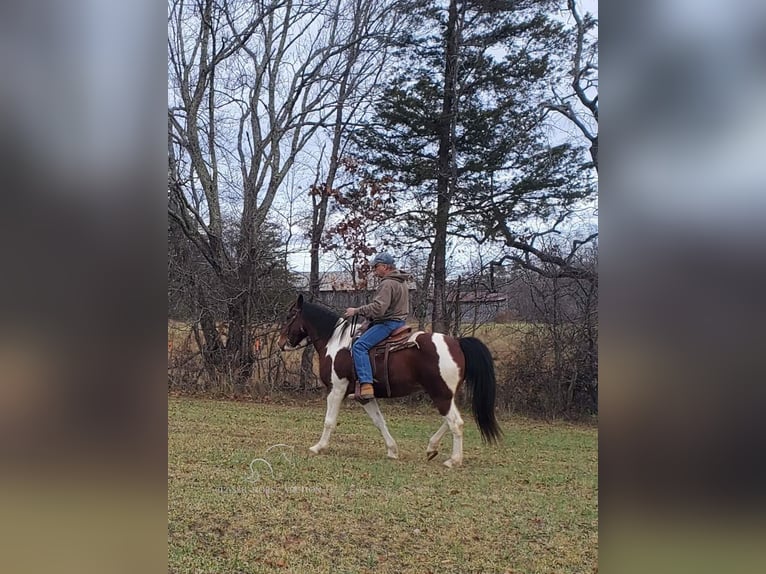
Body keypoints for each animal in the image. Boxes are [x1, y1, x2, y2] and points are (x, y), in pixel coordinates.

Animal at [278, 296, 504, 468]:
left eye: (290, 316)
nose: (280, 343)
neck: (336, 343)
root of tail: (456, 342)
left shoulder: (336, 389)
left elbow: (329, 421)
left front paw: (318, 447)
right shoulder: (364, 396)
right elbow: (379, 422)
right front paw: (392, 451)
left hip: (441, 394)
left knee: (455, 423)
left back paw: (453, 460)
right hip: (446, 395)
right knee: (451, 421)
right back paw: (431, 448)